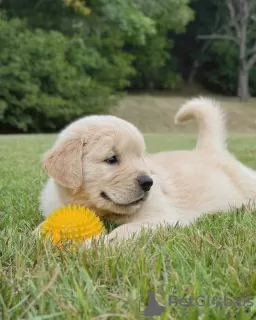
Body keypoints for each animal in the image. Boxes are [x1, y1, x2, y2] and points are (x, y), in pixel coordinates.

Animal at [39, 97, 256, 242]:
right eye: (112, 159)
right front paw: (38, 235)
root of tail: (209, 148)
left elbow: (122, 232)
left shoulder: (158, 218)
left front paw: (95, 245)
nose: (148, 183)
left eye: (140, 157)